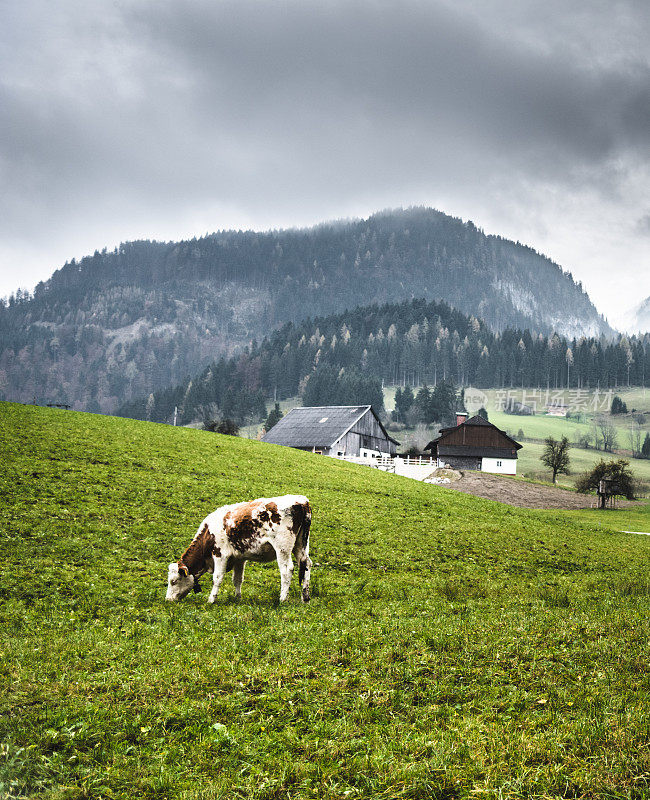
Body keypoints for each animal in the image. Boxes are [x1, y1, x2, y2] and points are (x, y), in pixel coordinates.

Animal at [166, 490, 310, 604]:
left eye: (173, 581)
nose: (168, 600)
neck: (208, 533)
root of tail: (301, 501)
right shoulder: (239, 558)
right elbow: (237, 579)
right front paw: (237, 598)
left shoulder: (220, 554)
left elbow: (217, 578)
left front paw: (211, 600)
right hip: (301, 545)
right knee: (306, 564)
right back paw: (305, 598)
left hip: (282, 548)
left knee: (287, 570)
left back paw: (283, 599)